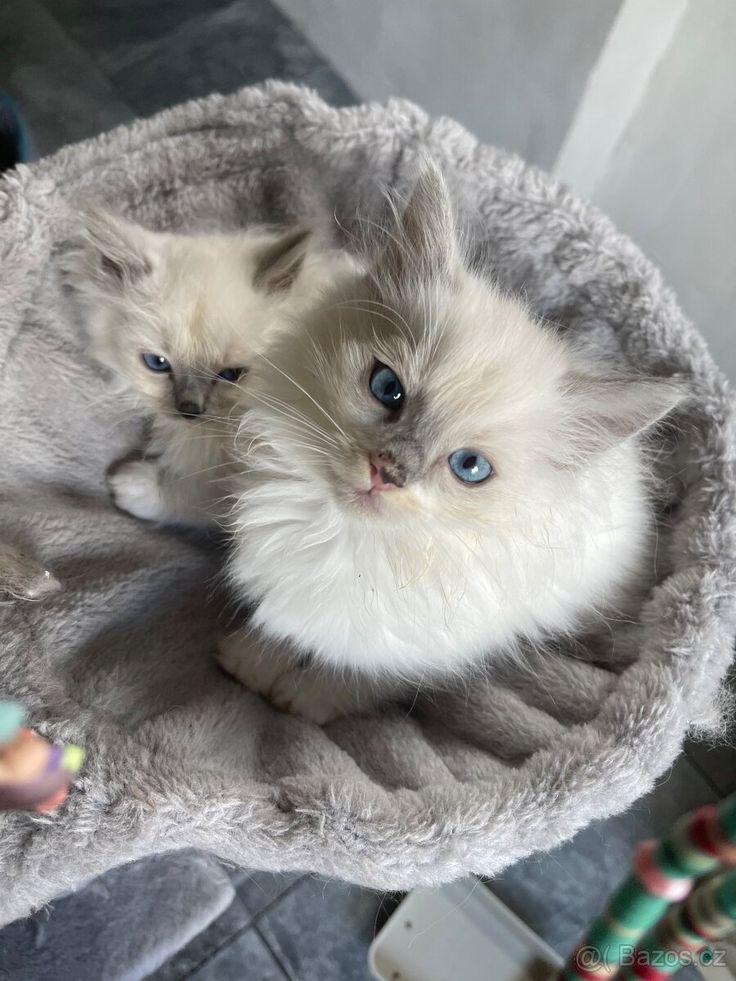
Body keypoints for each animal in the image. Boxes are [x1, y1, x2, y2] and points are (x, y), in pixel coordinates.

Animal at [217, 165, 684, 724]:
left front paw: (302, 698)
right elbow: (282, 626)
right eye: (387, 389)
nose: (387, 472)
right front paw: (252, 661)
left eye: (470, 467)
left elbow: (352, 671)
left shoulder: (420, 646)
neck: (344, 537)